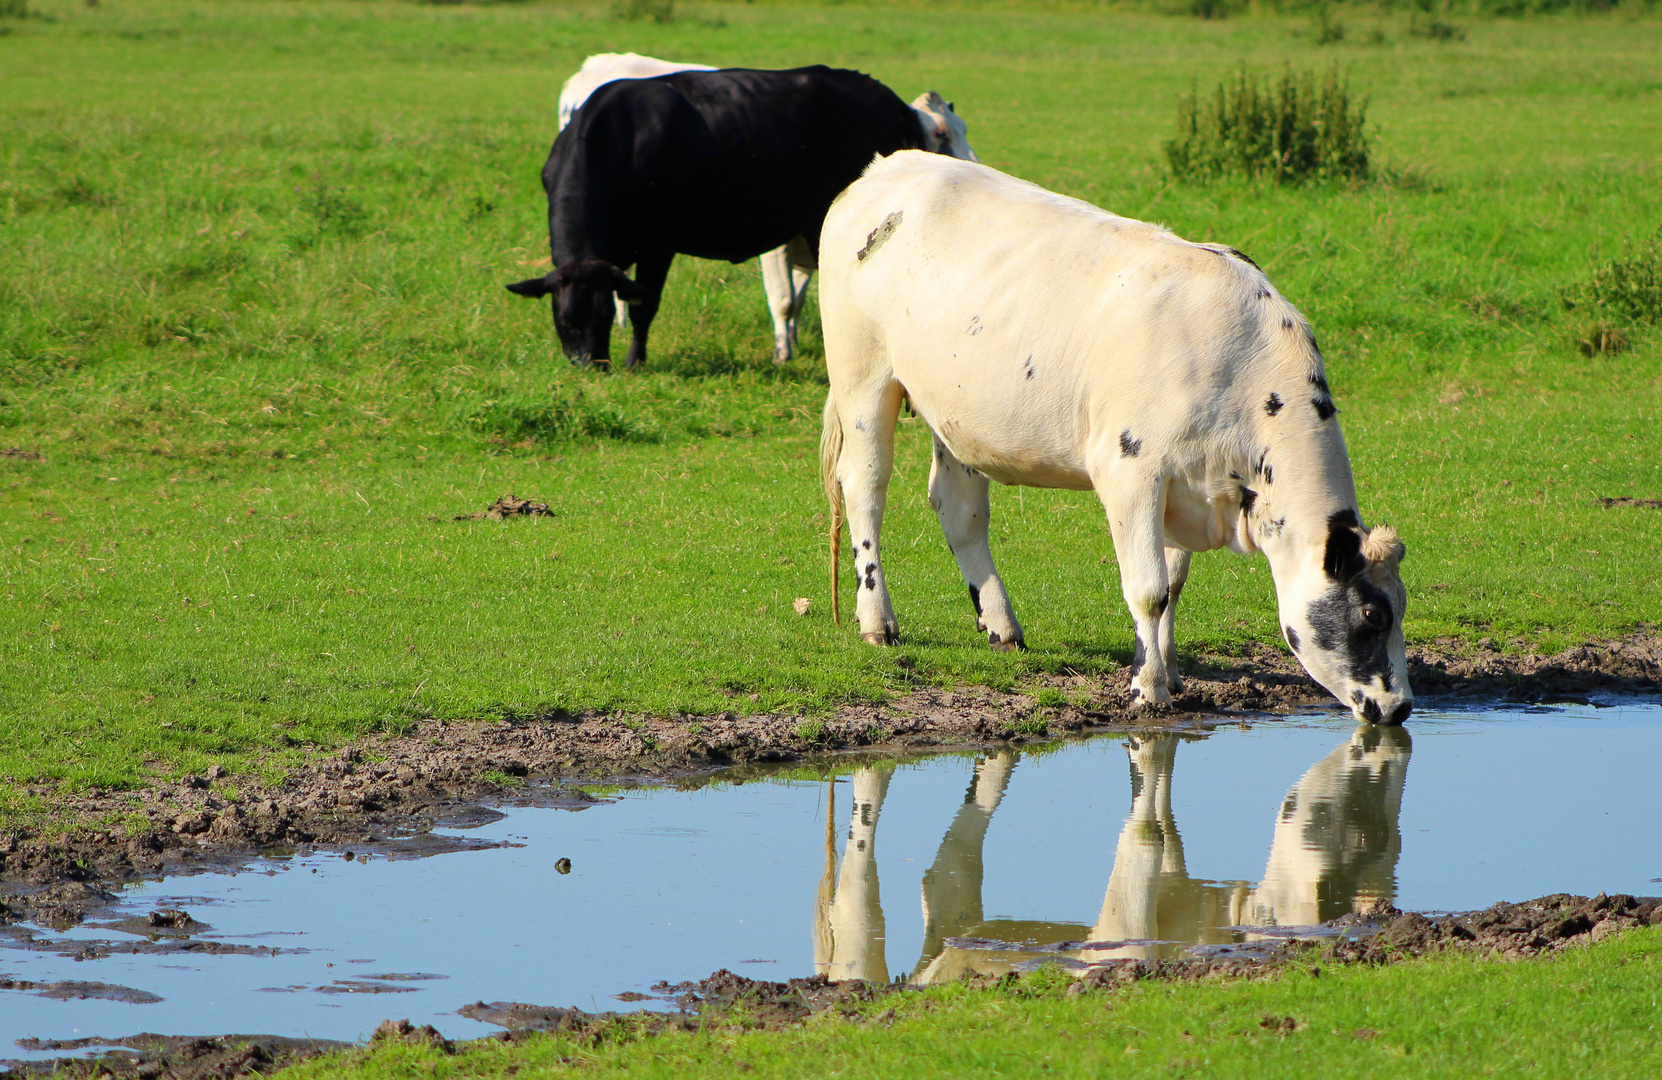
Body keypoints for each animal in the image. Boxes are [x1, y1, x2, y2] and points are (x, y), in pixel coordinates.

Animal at [498, 68, 937, 370]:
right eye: (564, 320)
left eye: (601, 316)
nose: (590, 365)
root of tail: (889, 99)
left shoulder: (658, 243)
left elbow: (643, 305)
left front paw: (635, 361)